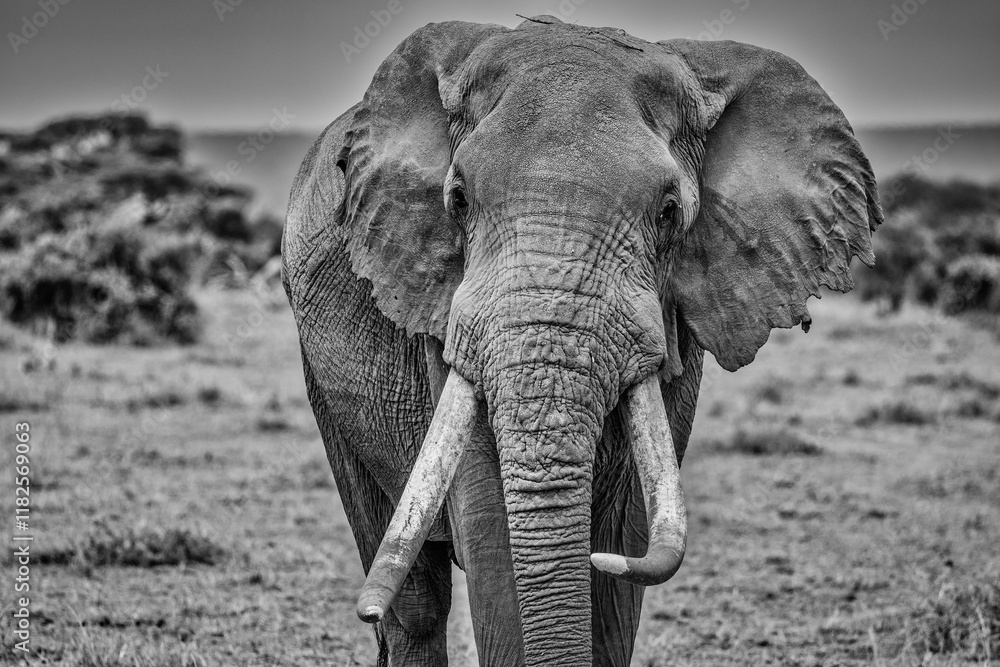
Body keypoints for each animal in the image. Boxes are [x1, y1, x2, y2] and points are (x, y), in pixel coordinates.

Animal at [281, 16, 882, 667]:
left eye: (669, 211)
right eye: (457, 200)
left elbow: (623, 540)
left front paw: (605, 557)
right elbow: (493, 529)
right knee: (414, 601)